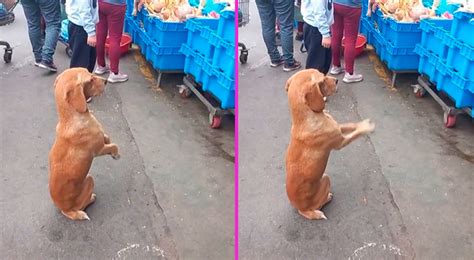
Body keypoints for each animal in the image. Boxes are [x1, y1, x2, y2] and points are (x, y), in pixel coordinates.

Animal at [48, 67, 120, 221]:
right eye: (90, 79)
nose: (106, 81)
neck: (71, 118)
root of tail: (65, 210)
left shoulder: (102, 139)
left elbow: (107, 137)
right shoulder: (98, 150)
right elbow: (113, 145)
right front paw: (116, 154)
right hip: (90, 179)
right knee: (83, 205)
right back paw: (91, 198)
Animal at [284, 68, 376, 219]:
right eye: (322, 80)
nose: (337, 80)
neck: (306, 118)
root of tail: (302, 210)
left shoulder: (338, 128)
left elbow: (351, 125)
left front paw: (362, 124)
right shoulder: (340, 142)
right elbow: (356, 133)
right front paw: (367, 128)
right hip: (326, 178)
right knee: (320, 204)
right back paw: (328, 198)